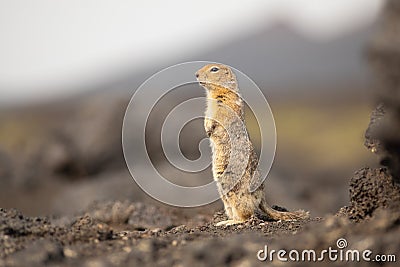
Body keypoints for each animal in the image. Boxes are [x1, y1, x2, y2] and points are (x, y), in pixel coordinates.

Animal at [196, 63, 310, 227]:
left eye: (214, 69)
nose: (196, 74)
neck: (216, 92)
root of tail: (262, 197)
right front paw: (206, 128)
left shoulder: (224, 103)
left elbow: (218, 117)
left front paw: (209, 129)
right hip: (224, 194)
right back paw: (225, 220)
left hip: (238, 193)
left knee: (247, 215)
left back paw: (229, 222)